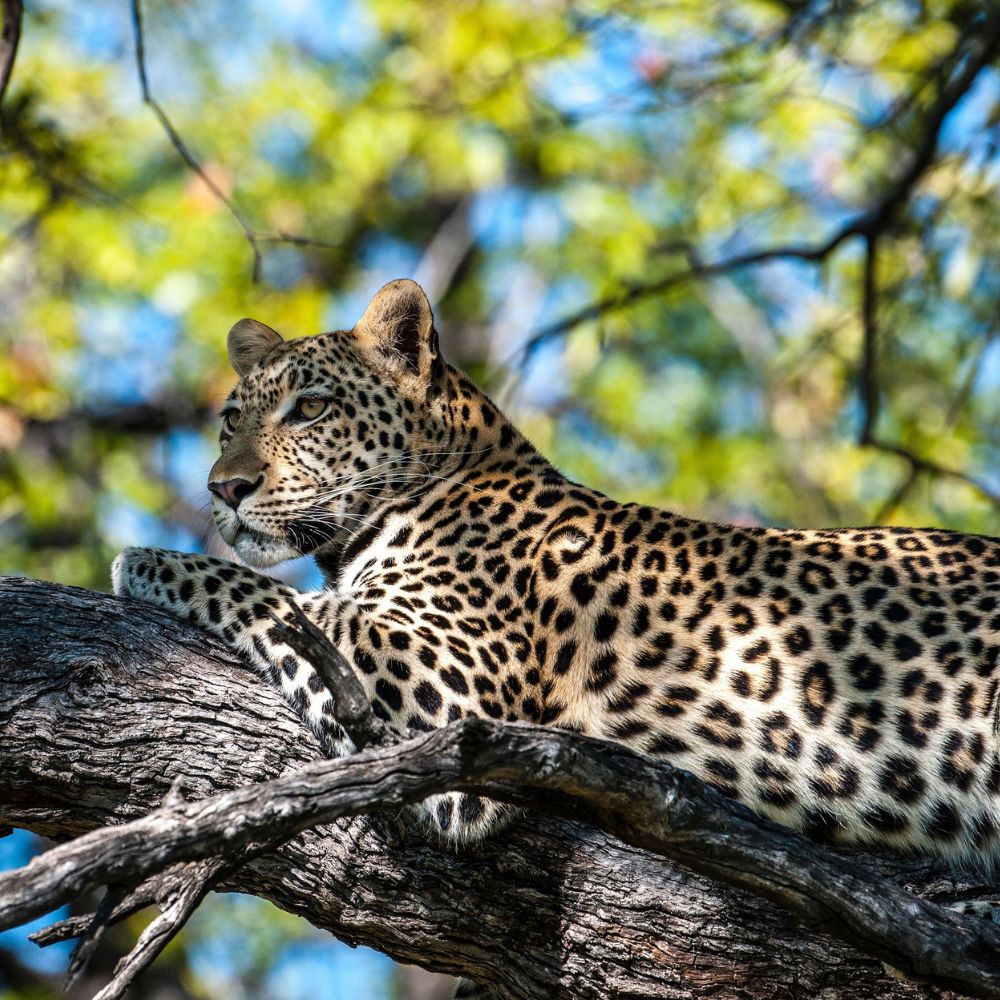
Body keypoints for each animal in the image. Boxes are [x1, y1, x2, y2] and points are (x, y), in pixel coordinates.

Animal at [113, 278, 1000, 970]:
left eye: (310, 409)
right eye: (231, 419)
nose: (223, 489)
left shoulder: (456, 702)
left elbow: (280, 599)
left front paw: (142, 560)